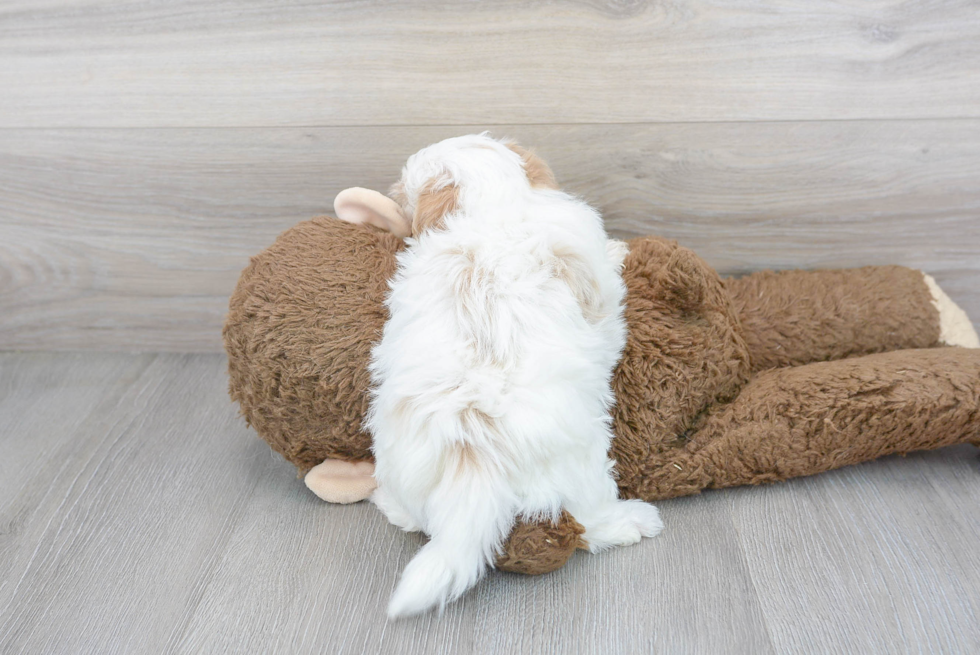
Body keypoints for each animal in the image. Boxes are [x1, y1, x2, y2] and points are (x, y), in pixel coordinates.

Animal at [364, 135, 664, 620]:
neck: (493, 210)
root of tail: (471, 449)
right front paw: (620, 251)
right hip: (583, 464)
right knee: (588, 519)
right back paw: (632, 522)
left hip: (403, 467)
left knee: (412, 515)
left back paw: (389, 504)